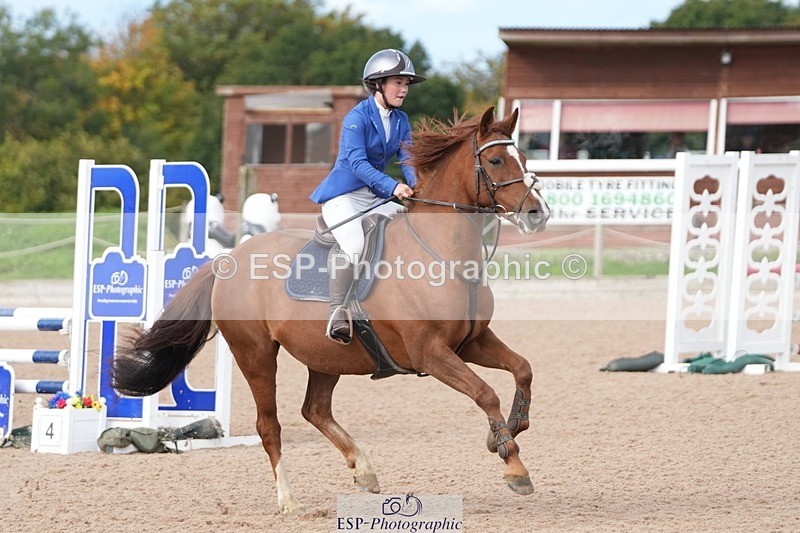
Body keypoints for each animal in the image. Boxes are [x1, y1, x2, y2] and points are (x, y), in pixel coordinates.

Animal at [112, 106, 551, 514]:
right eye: (496, 161)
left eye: (523, 158)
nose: (537, 214)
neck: (441, 252)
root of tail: (229, 259)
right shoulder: (431, 353)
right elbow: (485, 393)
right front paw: (514, 466)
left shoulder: (471, 342)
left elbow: (523, 369)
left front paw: (509, 430)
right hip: (255, 354)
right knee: (270, 425)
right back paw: (289, 500)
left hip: (325, 355)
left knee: (315, 410)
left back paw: (364, 469)